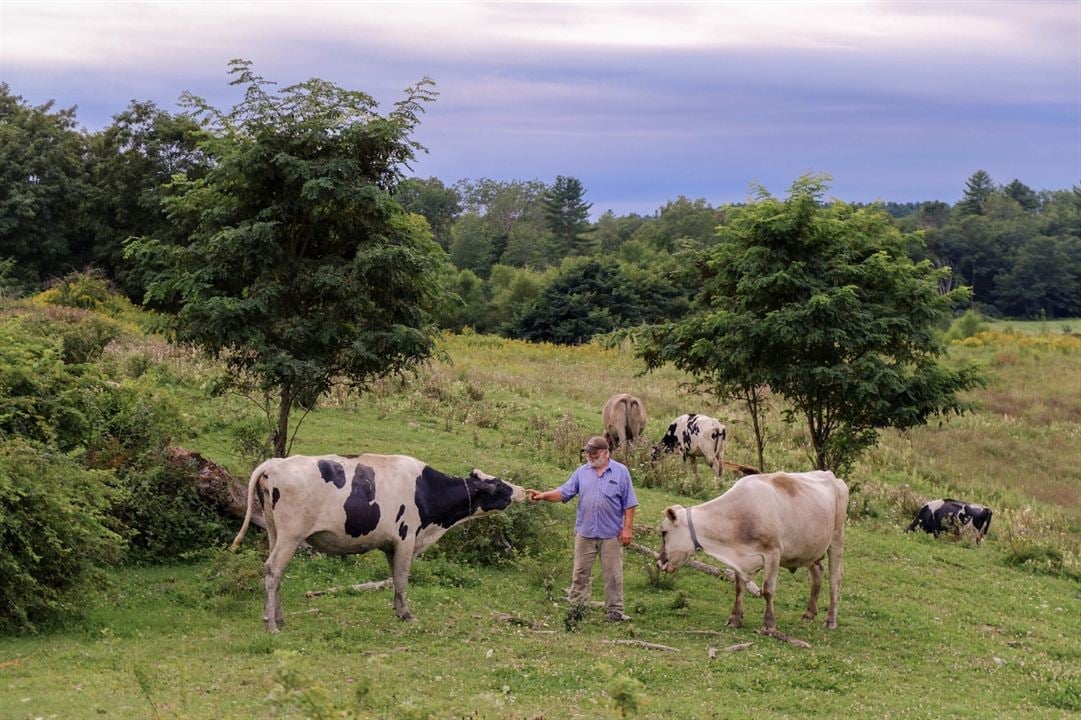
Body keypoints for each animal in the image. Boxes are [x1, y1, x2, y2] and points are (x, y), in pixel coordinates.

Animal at [232, 454, 527, 627]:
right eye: (500, 484)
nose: (523, 491)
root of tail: (274, 462)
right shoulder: (406, 538)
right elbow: (402, 578)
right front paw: (407, 614)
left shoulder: (390, 544)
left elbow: (394, 578)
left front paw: (398, 610)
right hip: (291, 535)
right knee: (273, 569)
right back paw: (271, 623)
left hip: (274, 531)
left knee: (276, 573)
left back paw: (279, 618)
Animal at [652, 471, 847, 627]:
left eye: (664, 532)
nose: (659, 563)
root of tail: (832, 476)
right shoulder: (739, 559)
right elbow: (739, 588)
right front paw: (735, 619)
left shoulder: (773, 553)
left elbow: (768, 590)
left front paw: (769, 624)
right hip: (809, 549)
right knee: (817, 574)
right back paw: (809, 614)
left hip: (836, 539)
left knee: (835, 580)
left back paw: (831, 620)